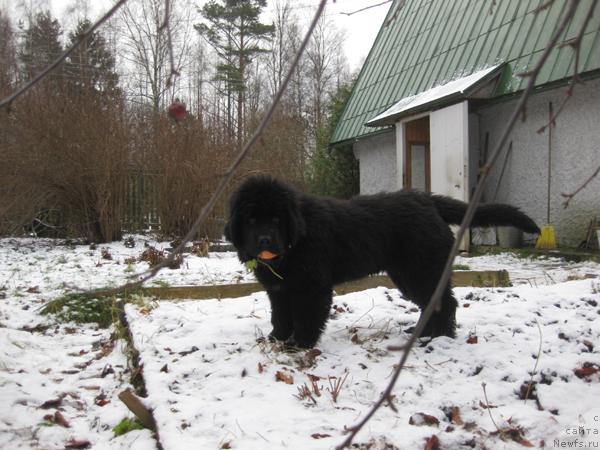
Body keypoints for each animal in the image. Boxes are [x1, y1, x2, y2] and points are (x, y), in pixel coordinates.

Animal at [225, 176, 540, 348]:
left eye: (277, 218)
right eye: (251, 219)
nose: (265, 240)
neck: (296, 240)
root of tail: (428, 200)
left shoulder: (312, 286)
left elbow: (307, 317)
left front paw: (300, 345)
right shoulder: (279, 290)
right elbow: (280, 315)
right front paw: (276, 338)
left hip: (421, 269)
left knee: (445, 303)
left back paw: (438, 337)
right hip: (409, 273)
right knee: (433, 303)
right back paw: (423, 333)